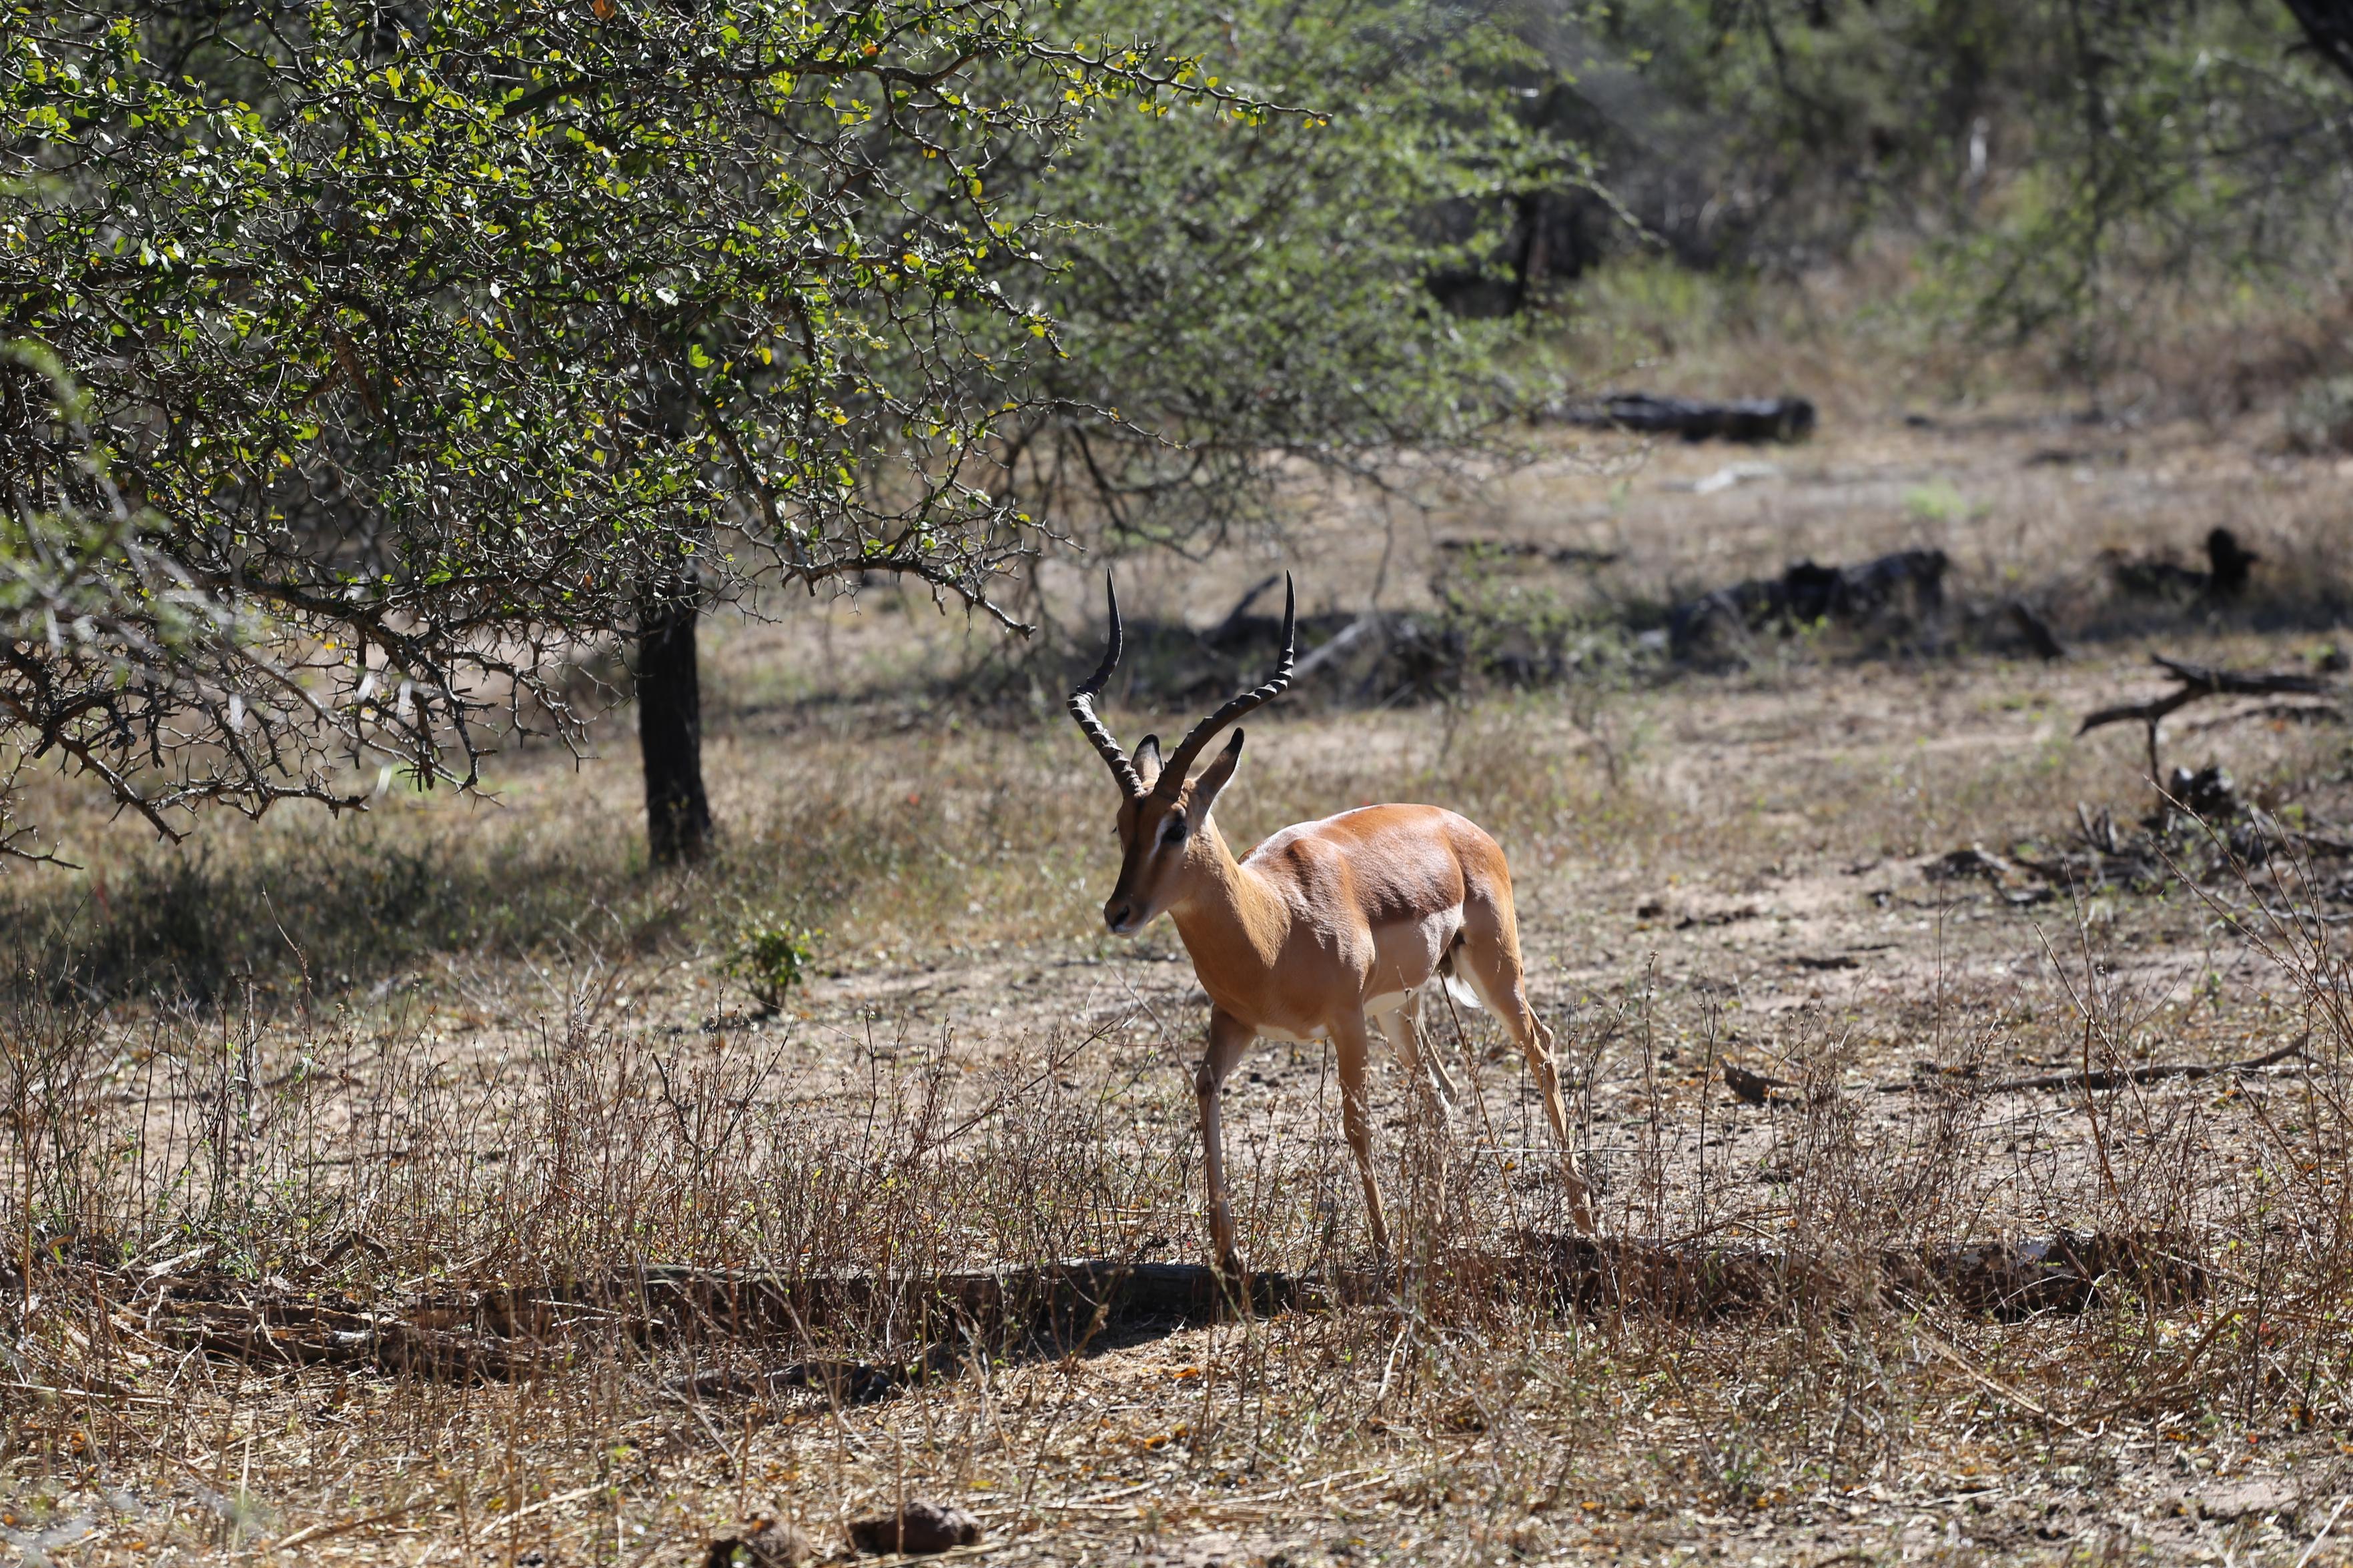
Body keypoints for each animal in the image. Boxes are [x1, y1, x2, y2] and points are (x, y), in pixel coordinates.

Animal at [1068, 572, 1594, 1272]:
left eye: (1175, 827)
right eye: (1121, 826)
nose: (1118, 911)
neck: (1272, 923)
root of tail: (1460, 824)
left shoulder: (1344, 1021)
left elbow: (1356, 1122)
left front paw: (1380, 1246)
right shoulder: (1234, 1021)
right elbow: (1205, 1090)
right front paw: (1229, 1253)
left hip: (1490, 970)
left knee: (1539, 1046)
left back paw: (1581, 1222)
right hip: (1400, 1007)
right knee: (1440, 1091)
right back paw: (1435, 1231)